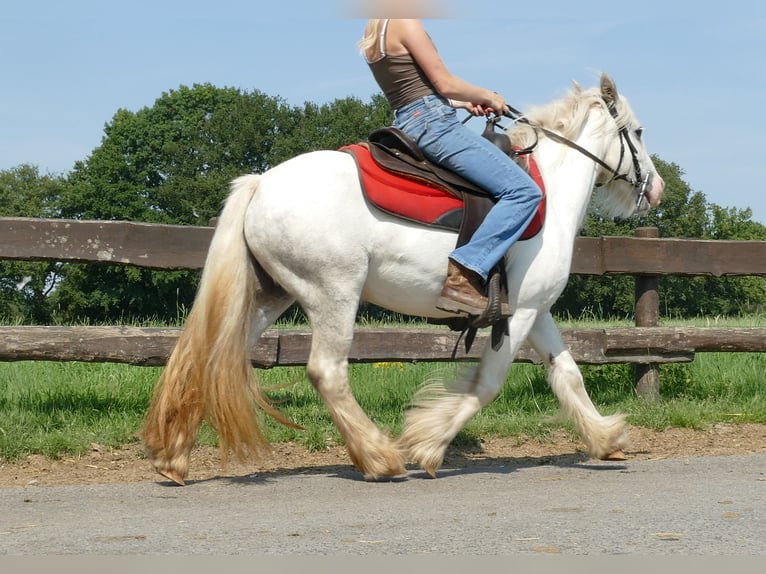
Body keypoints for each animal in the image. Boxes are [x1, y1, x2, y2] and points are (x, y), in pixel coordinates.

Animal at [142, 72, 664, 486]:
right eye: (638, 132)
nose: (657, 188)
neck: (549, 194)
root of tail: (261, 184)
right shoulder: (521, 313)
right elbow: (488, 383)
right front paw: (428, 444)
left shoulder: (536, 310)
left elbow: (568, 374)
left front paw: (606, 437)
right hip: (334, 294)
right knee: (327, 372)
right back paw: (379, 457)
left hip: (270, 296)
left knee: (207, 361)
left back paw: (173, 458)